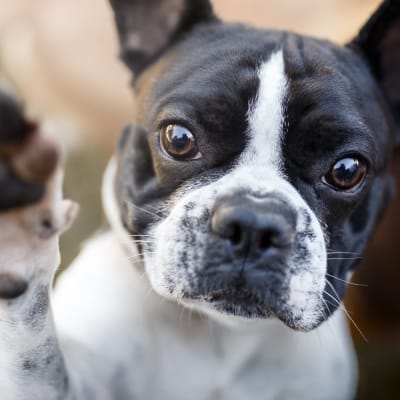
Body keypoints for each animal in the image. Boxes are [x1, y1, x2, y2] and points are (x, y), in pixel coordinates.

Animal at [0, 0, 398, 398]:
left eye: (347, 170)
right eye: (178, 138)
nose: (254, 223)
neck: (219, 334)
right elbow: (36, 348)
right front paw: (20, 232)